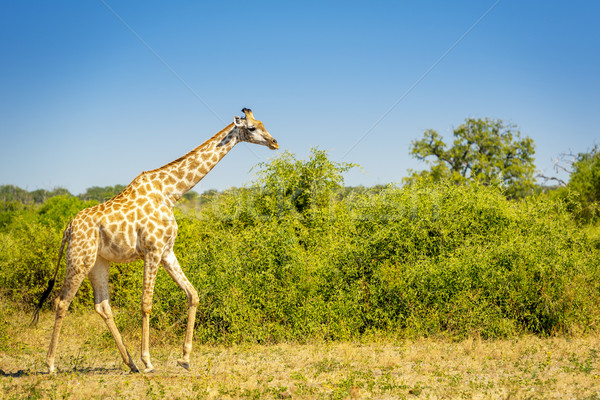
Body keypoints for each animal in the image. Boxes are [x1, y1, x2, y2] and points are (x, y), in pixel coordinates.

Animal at [31, 108, 278, 374]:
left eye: (263, 123)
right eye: (252, 128)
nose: (274, 142)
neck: (170, 193)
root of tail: (68, 228)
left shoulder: (167, 251)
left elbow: (193, 294)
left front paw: (185, 358)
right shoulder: (152, 250)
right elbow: (146, 303)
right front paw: (148, 361)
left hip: (98, 261)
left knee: (102, 306)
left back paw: (130, 364)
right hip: (79, 259)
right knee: (61, 301)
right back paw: (51, 365)